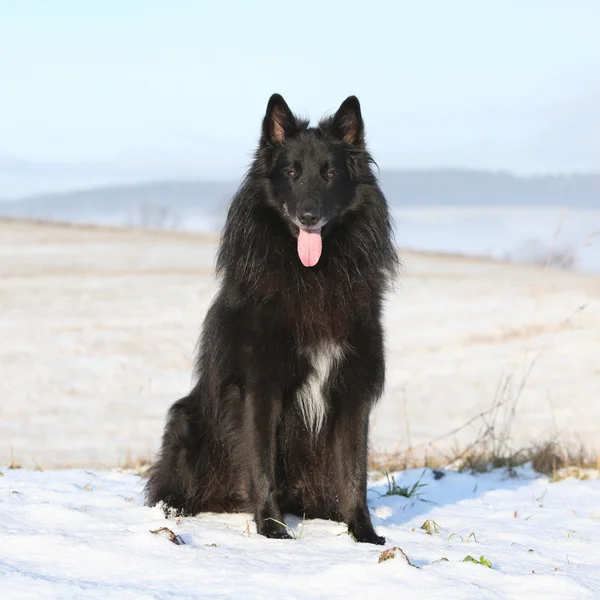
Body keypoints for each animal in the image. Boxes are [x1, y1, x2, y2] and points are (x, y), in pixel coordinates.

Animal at [145, 92, 398, 544]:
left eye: (330, 173)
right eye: (291, 173)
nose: (309, 216)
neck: (311, 275)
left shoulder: (352, 389)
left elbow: (355, 471)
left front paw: (363, 533)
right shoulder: (259, 387)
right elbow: (261, 461)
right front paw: (272, 529)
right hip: (187, 419)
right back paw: (177, 508)